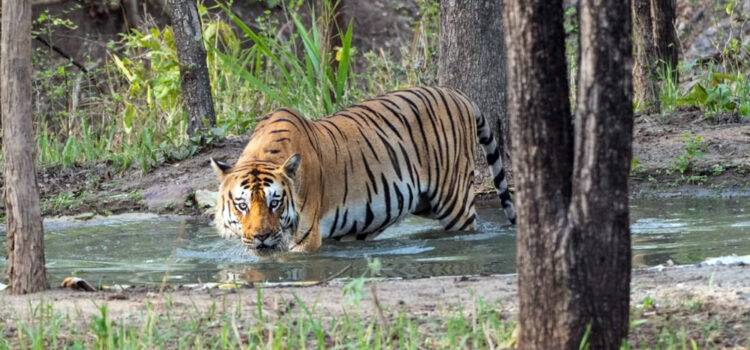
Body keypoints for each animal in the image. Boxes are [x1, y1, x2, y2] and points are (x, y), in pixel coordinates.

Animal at [212, 85, 516, 254]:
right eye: (242, 205)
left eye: (275, 203)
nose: (261, 237)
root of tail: (458, 94)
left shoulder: (306, 239)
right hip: (424, 202)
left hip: (453, 200)